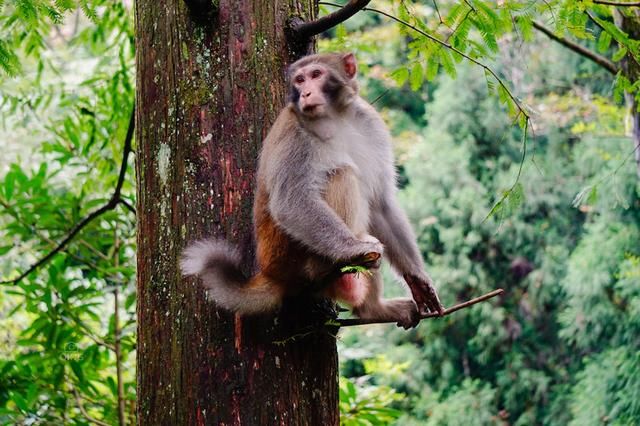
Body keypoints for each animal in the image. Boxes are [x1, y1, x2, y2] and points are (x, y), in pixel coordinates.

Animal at [179, 51, 440, 328]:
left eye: (316, 75)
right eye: (300, 80)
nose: (305, 93)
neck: (336, 118)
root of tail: (272, 274)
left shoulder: (371, 125)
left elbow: (381, 204)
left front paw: (419, 281)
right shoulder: (294, 135)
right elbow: (291, 203)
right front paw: (353, 248)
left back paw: (373, 308)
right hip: (294, 259)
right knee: (342, 174)